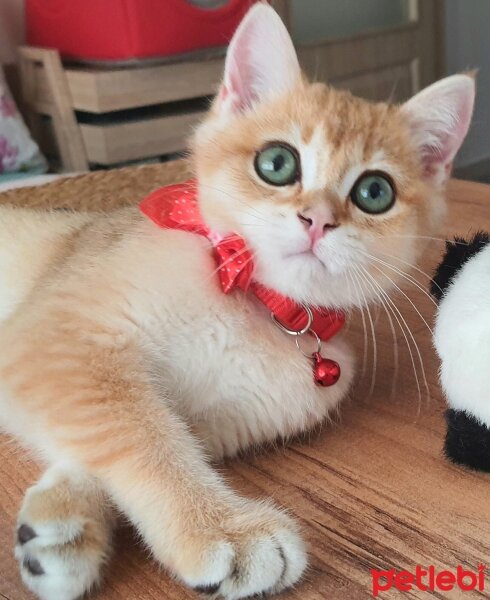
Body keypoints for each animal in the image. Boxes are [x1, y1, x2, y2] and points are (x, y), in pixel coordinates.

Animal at [0, 4, 474, 600]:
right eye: (277, 163)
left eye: (374, 192)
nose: (317, 220)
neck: (254, 306)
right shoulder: (55, 336)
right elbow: (142, 435)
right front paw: (222, 529)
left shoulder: (211, 417)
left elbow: (134, 435)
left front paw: (63, 524)